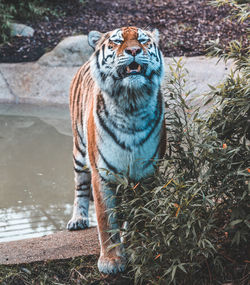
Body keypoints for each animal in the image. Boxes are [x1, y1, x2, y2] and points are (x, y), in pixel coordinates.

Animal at [67, 26, 167, 272]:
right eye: (117, 41)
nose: (133, 51)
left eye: (143, 40)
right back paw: (78, 219)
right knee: (80, 186)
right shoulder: (102, 173)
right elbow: (106, 218)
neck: (131, 104)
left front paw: (139, 247)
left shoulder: (146, 173)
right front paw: (111, 260)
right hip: (79, 150)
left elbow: (141, 214)